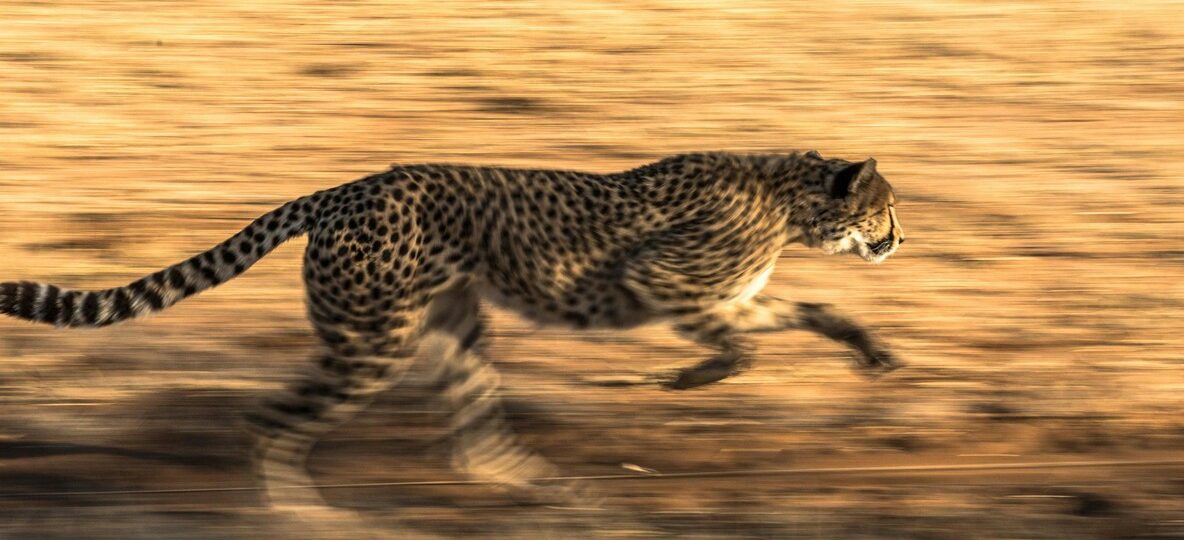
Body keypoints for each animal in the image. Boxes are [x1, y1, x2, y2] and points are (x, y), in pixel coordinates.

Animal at [0, 150, 904, 512]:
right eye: (884, 208)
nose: (899, 240)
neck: (788, 199)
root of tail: (348, 187)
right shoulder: (664, 284)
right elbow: (739, 344)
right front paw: (692, 378)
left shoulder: (729, 297)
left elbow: (811, 315)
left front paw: (875, 352)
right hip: (373, 343)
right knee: (266, 422)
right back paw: (305, 518)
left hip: (450, 331)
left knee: (474, 445)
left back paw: (567, 498)